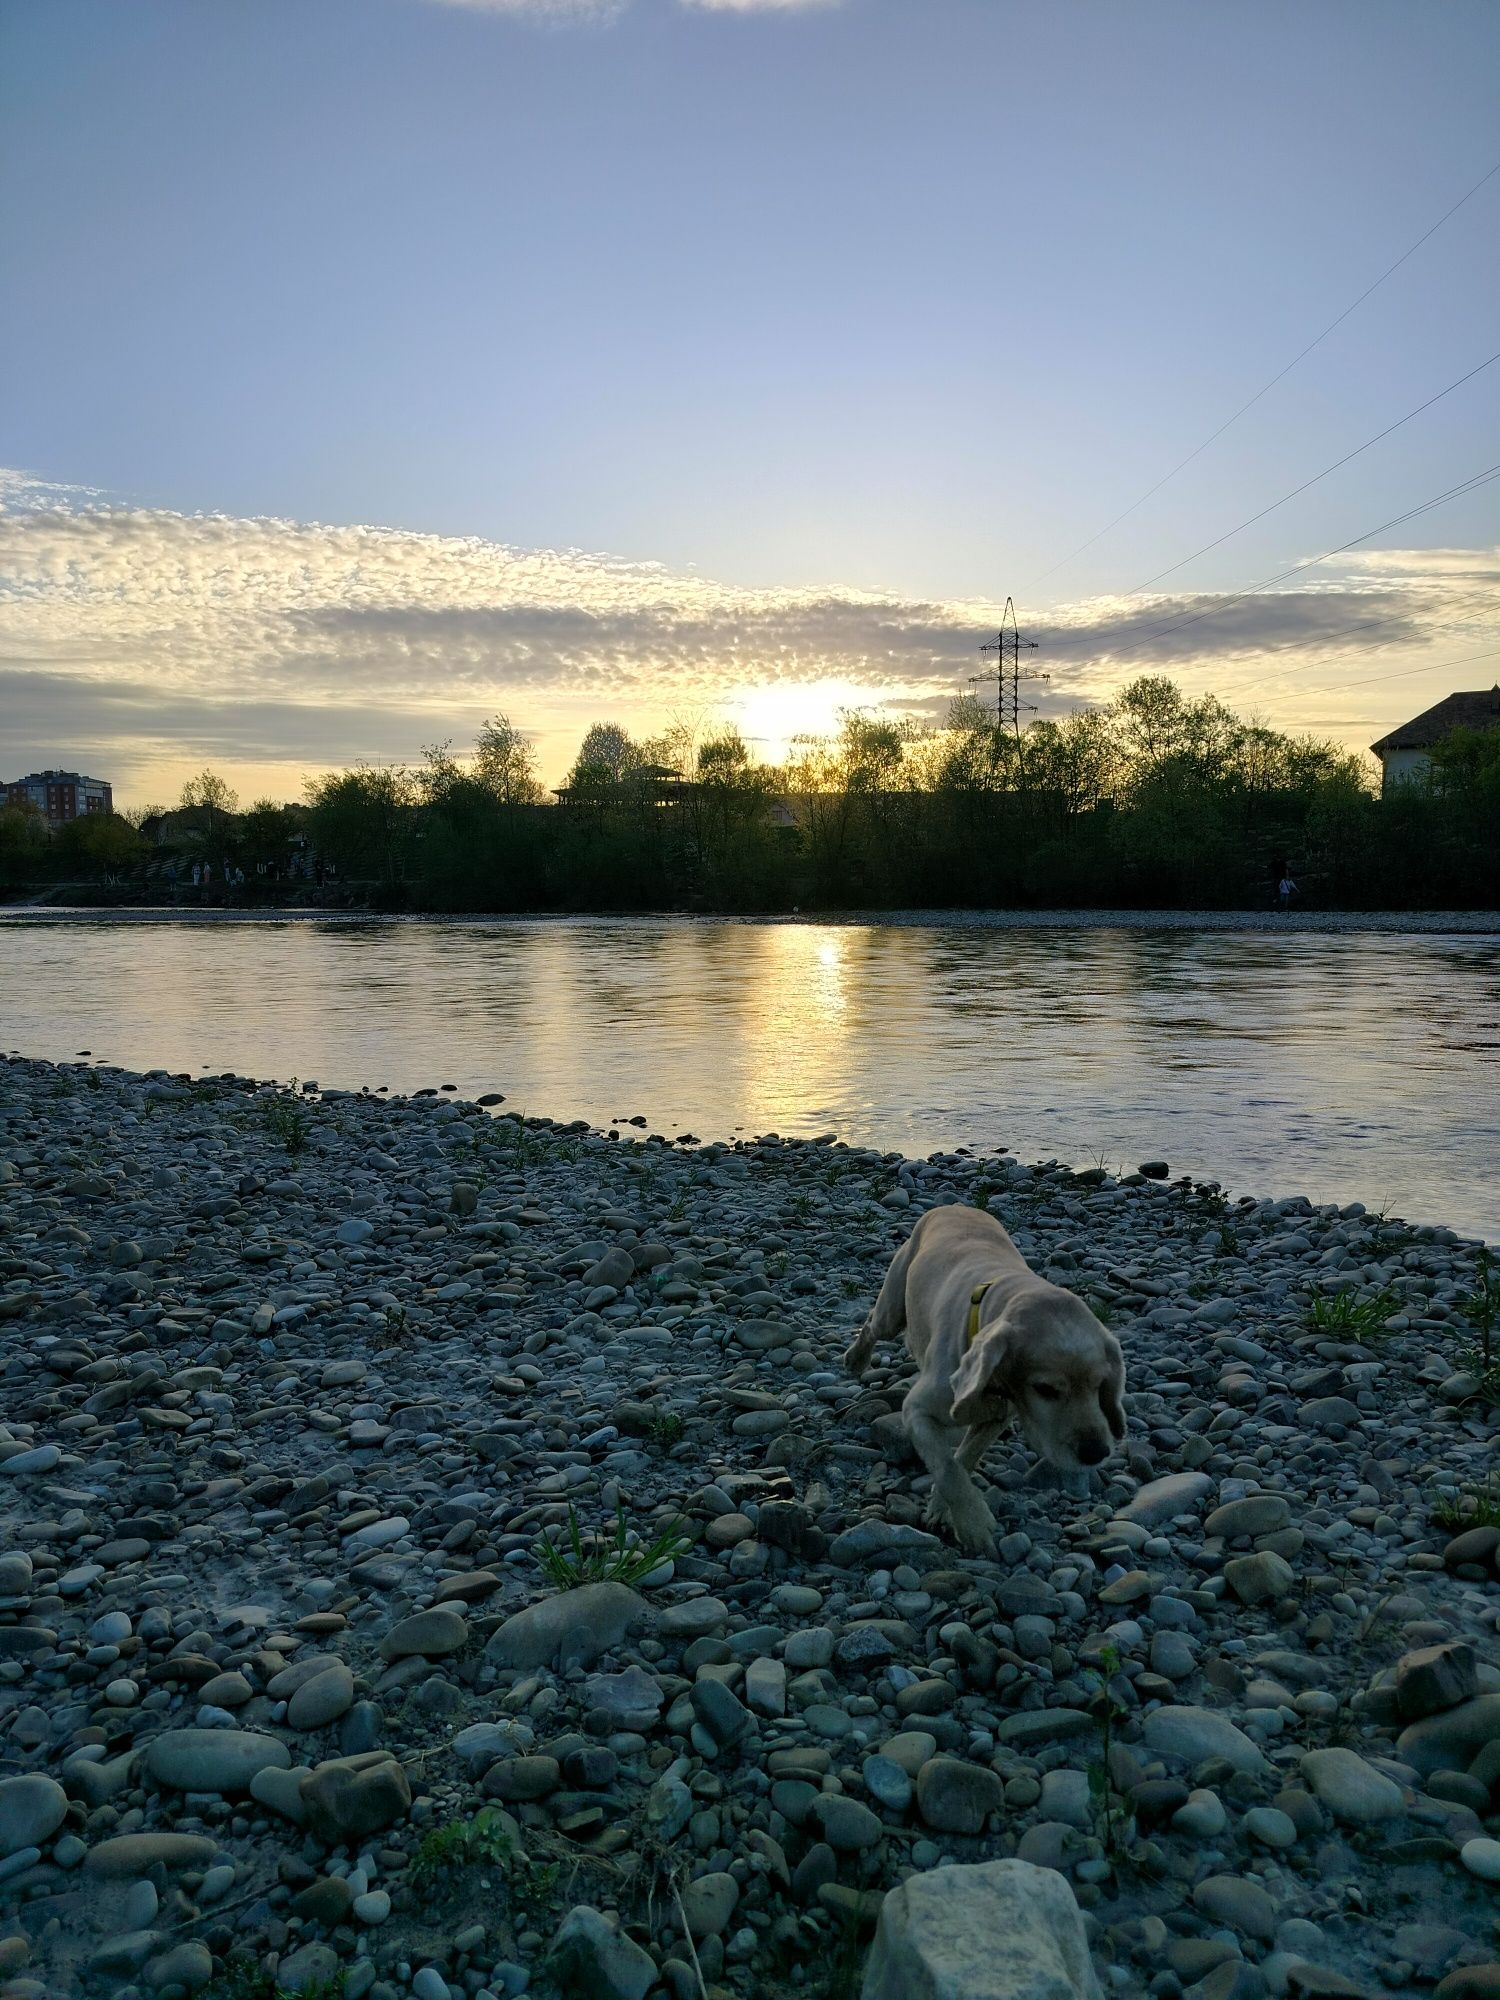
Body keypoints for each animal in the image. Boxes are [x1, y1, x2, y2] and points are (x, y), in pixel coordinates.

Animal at [848, 1200, 1128, 1544]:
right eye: (1045, 1389)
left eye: (1100, 1385)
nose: (1095, 1452)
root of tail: (952, 1205)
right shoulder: (916, 1411)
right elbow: (947, 1467)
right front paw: (975, 1524)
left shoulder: (997, 1418)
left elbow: (964, 1458)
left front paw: (941, 1510)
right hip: (893, 1309)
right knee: (872, 1324)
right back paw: (855, 1359)